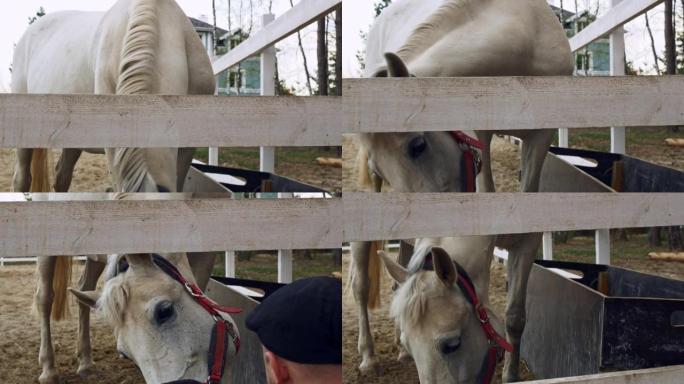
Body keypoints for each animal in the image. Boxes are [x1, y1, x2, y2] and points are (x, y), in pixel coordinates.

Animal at [350, 0, 576, 380]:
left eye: (418, 145)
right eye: (379, 166)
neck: (521, 31)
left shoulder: (536, 137)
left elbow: (515, 315)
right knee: (362, 280)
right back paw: (368, 354)